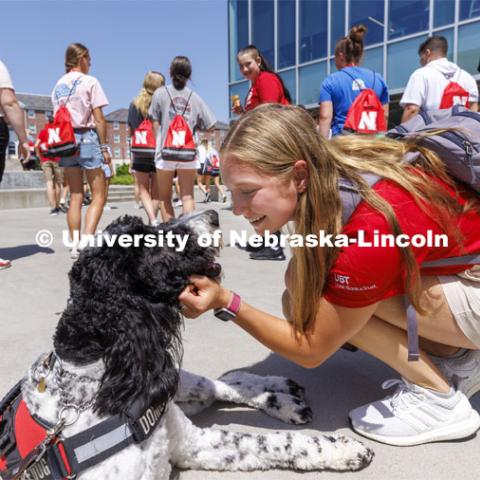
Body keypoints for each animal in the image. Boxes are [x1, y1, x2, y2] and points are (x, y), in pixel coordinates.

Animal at [13, 213, 374, 476]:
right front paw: (342, 449)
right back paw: (280, 400)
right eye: (152, 242)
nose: (212, 214)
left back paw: (280, 394)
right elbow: (266, 442)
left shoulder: (190, 440)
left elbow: (272, 441)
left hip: (178, 384)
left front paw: (340, 448)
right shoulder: (192, 446)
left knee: (223, 384)